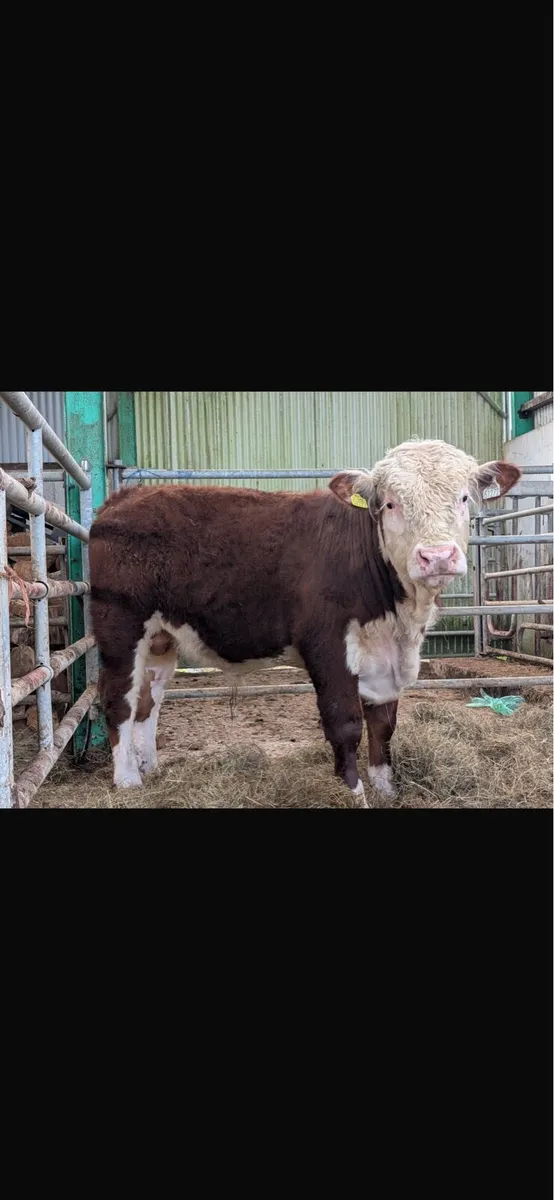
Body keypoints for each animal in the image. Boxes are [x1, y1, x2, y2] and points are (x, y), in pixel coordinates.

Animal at [89, 440, 521, 805]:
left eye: (463, 498)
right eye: (390, 504)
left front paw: (386, 790)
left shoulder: (385, 656)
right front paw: (354, 794)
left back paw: (149, 767)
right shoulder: (327, 644)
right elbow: (345, 723)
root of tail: (125, 498)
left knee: (149, 699)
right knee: (119, 698)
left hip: (161, 638)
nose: (437, 556)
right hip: (120, 626)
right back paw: (127, 779)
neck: (400, 618)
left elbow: (383, 723)